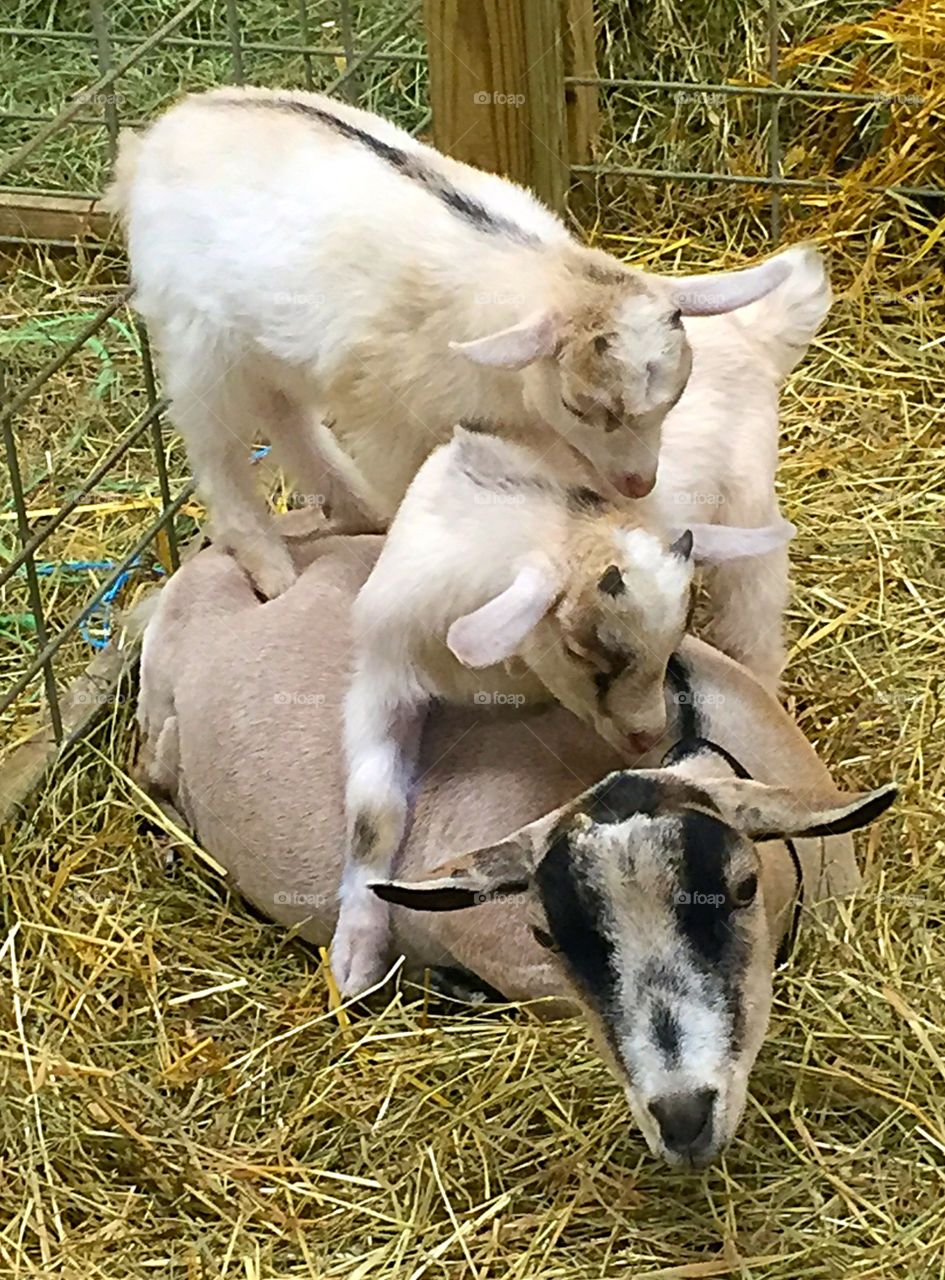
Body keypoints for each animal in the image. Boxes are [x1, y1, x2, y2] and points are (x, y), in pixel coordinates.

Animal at [108, 87, 788, 596]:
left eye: (673, 398)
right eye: (580, 406)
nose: (638, 483)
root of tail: (156, 138)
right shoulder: (391, 421)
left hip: (266, 348)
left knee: (288, 417)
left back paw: (350, 507)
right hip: (196, 344)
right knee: (217, 450)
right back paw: (273, 569)